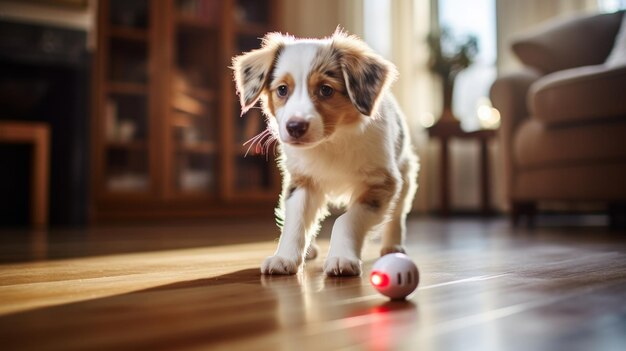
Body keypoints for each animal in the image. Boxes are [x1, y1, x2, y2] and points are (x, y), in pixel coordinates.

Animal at [232, 30, 416, 276]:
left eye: (326, 90)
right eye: (282, 89)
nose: (295, 127)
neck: (330, 142)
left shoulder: (381, 182)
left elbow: (346, 220)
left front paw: (341, 258)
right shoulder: (303, 180)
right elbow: (295, 221)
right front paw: (285, 258)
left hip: (405, 174)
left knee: (397, 214)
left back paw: (393, 246)